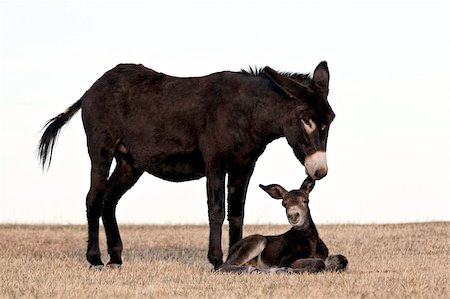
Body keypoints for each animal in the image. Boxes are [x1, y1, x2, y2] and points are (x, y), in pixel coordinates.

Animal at [218, 178, 348, 274]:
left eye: (305, 200)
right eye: (284, 203)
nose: (293, 216)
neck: (311, 241)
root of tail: (231, 250)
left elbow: (342, 259)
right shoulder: (287, 259)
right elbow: (319, 263)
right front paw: (288, 270)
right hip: (258, 240)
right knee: (222, 266)